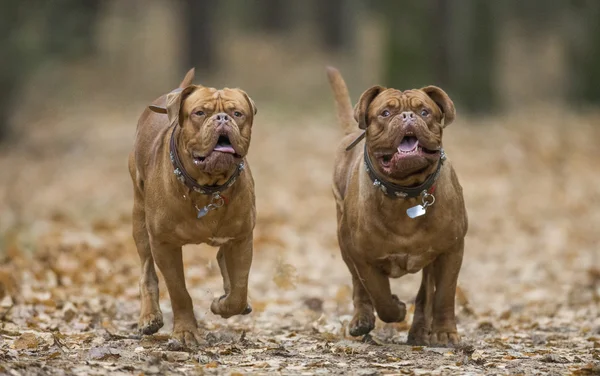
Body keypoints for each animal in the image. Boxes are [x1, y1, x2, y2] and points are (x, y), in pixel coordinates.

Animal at [127, 68, 256, 346]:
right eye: (199, 113)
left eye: (238, 113)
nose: (222, 118)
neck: (207, 187)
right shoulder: (164, 244)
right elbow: (179, 291)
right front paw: (186, 332)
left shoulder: (242, 238)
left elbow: (239, 289)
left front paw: (223, 305)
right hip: (140, 221)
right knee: (146, 272)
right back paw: (149, 317)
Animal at [328, 67, 468, 346]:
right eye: (385, 113)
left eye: (424, 112)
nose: (407, 116)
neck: (406, 193)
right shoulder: (363, 257)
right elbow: (379, 294)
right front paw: (397, 308)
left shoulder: (451, 250)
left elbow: (444, 294)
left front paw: (445, 332)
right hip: (344, 244)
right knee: (359, 287)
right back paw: (362, 320)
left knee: (426, 293)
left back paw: (420, 331)